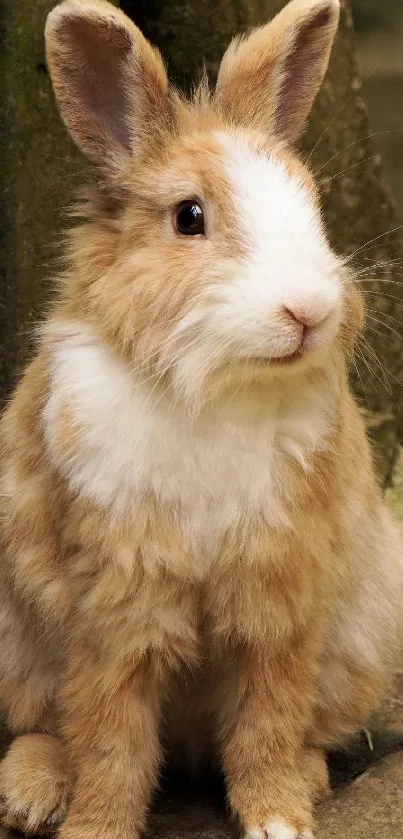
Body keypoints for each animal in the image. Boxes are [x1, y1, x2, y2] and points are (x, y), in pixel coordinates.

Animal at [0, 0, 402, 838]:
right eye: (189, 217)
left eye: (312, 205)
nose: (307, 311)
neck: (219, 386)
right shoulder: (117, 594)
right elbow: (111, 731)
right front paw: (95, 827)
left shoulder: (278, 588)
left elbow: (266, 716)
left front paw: (278, 818)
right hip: (15, 639)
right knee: (45, 724)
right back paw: (30, 792)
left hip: (362, 634)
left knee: (303, 727)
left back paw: (308, 777)